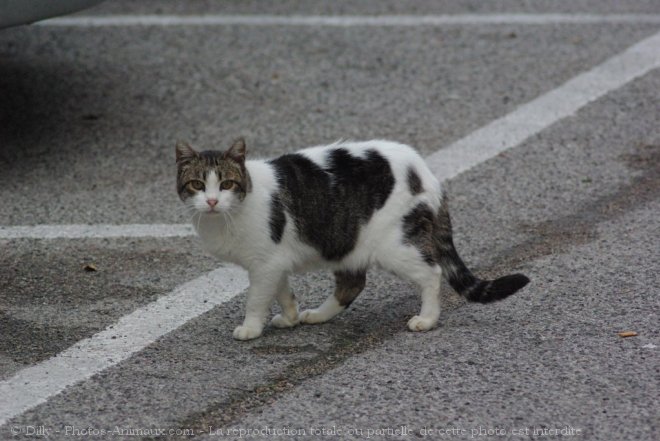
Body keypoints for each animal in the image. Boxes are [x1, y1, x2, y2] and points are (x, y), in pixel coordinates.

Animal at [174, 138, 524, 340]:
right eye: (196, 185)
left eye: (227, 184)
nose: (212, 201)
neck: (222, 219)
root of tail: (424, 171)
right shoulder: (274, 262)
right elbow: (283, 292)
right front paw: (289, 317)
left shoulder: (264, 265)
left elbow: (257, 298)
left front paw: (250, 328)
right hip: (346, 242)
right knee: (352, 284)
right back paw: (316, 315)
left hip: (393, 243)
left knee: (432, 273)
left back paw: (426, 319)